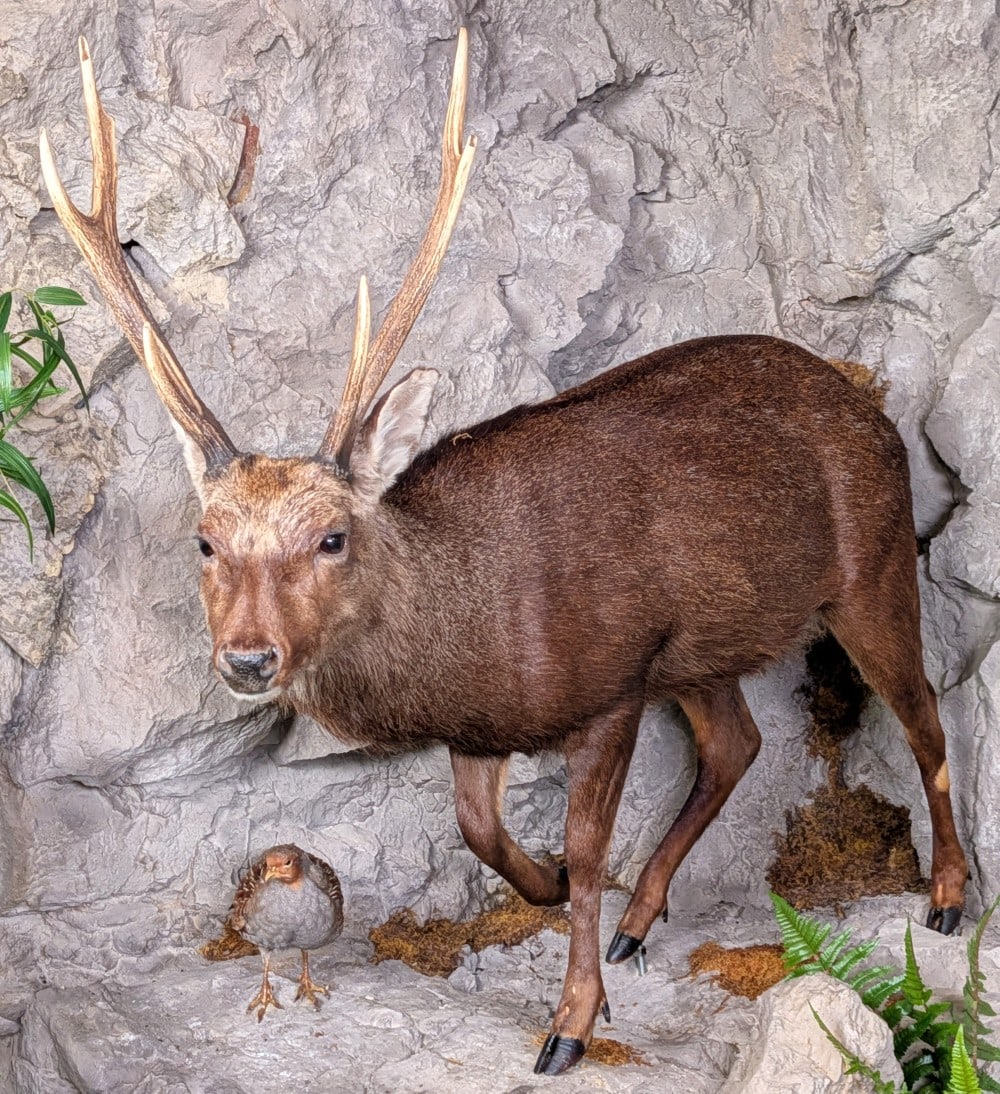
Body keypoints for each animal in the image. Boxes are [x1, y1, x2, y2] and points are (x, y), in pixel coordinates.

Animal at [40, 30, 967, 1078]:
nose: (247, 657)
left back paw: (947, 897)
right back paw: (640, 923)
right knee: (739, 741)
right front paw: (552, 887)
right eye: (205, 539)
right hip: (701, 650)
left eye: (332, 536)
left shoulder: (611, 681)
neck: (474, 651)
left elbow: (588, 842)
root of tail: (871, 405)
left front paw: (569, 1022)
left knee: (923, 715)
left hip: (876, 561)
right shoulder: (490, 729)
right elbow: (480, 833)